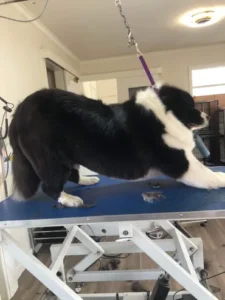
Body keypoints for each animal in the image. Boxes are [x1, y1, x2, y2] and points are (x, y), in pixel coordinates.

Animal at [7, 84, 225, 206]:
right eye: (191, 106)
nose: (206, 116)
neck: (163, 115)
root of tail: (18, 112)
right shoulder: (180, 161)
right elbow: (205, 173)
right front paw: (220, 178)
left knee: (70, 174)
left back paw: (87, 180)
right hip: (50, 157)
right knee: (50, 185)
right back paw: (69, 200)